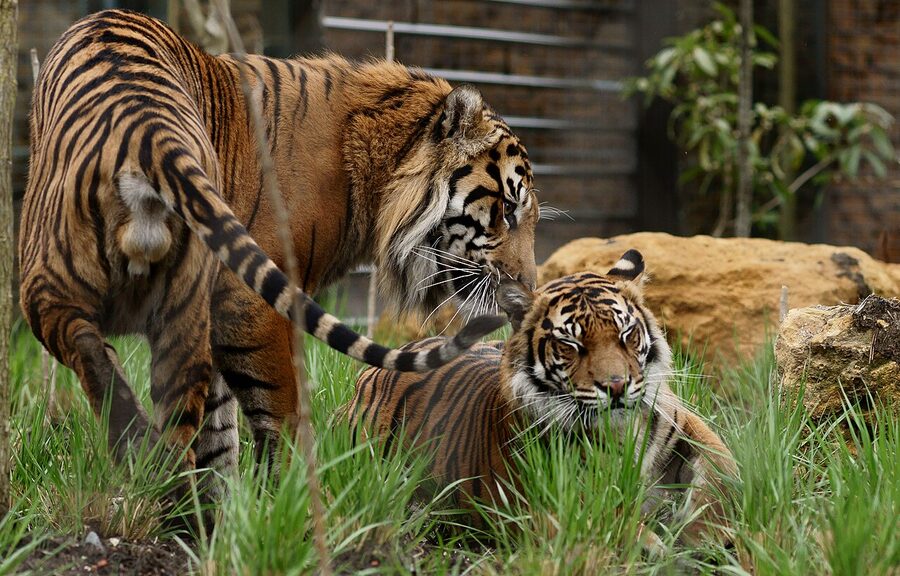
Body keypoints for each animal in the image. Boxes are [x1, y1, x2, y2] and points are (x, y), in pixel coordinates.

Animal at [18, 9, 537, 486]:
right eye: (509, 209)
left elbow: (217, 430)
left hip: (58, 287)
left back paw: (148, 463)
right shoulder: (252, 303)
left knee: (103, 359)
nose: (529, 288)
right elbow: (274, 413)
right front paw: (280, 500)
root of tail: (146, 127)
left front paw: (228, 506)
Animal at [347, 250, 737, 546]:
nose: (616, 387)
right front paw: (656, 545)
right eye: (571, 345)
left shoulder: (681, 421)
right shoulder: (550, 501)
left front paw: (708, 532)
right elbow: (603, 523)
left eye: (626, 334)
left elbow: (720, 467)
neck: (623, 430)